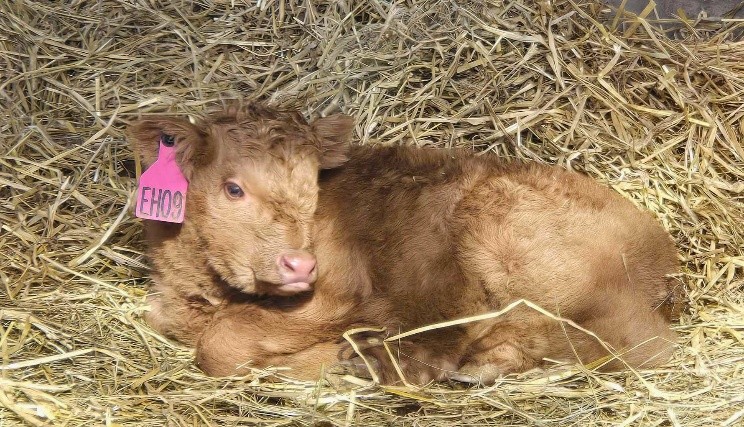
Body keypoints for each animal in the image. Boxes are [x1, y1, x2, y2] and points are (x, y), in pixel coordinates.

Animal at [128, 104, 682, 384]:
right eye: (233, 187)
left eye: (311, 185)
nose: (300, 264)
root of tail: (665, 263)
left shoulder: (340, 293)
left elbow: (222, 344)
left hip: (492, 225)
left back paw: (371, 361)